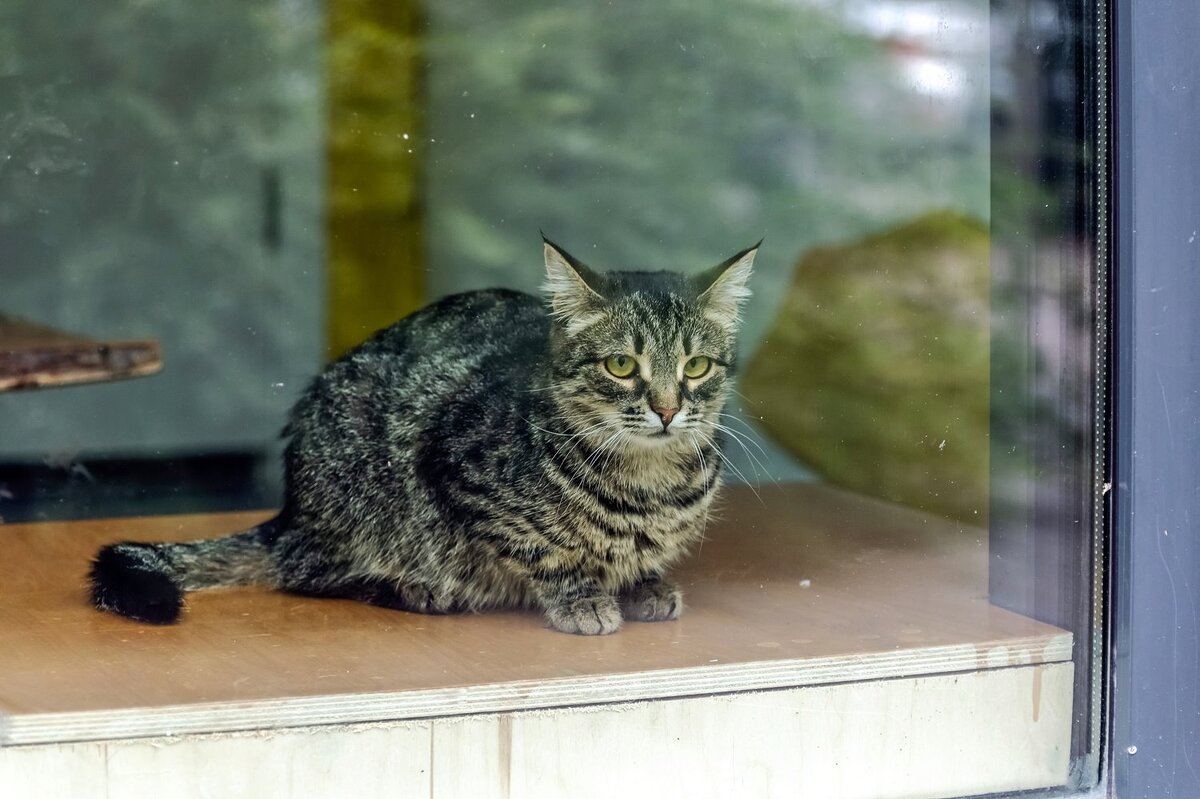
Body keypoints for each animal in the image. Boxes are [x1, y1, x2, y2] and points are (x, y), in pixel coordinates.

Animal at [88, 233, 753, 633]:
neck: (649, 482)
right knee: (308, 574)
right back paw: (413, 589)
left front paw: (643, 583)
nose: (667, 410)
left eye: (696, 367)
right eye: (620, 365)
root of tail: (291, 514)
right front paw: (582, 597)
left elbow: (637, 555)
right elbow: (547, 552)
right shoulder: (459, 476)